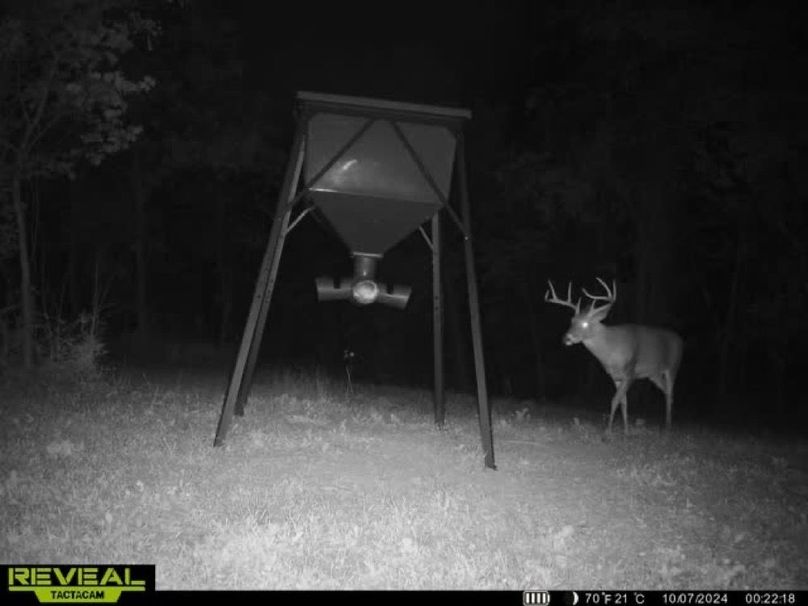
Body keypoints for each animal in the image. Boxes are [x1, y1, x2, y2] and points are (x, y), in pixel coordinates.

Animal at [545, 277, 683, 433]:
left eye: (585, 323)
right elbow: (623, 402)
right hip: (654, 374)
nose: (566, 338)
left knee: (671, 393)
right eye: (572, 321)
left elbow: (614, 400)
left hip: (673, 366)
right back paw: (666, 425)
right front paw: (626, 431)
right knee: (666, 392)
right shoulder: (615, 377)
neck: (611, 351)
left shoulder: (630, 372)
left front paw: (607, 432)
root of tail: (680, 340)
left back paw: (668, 427)